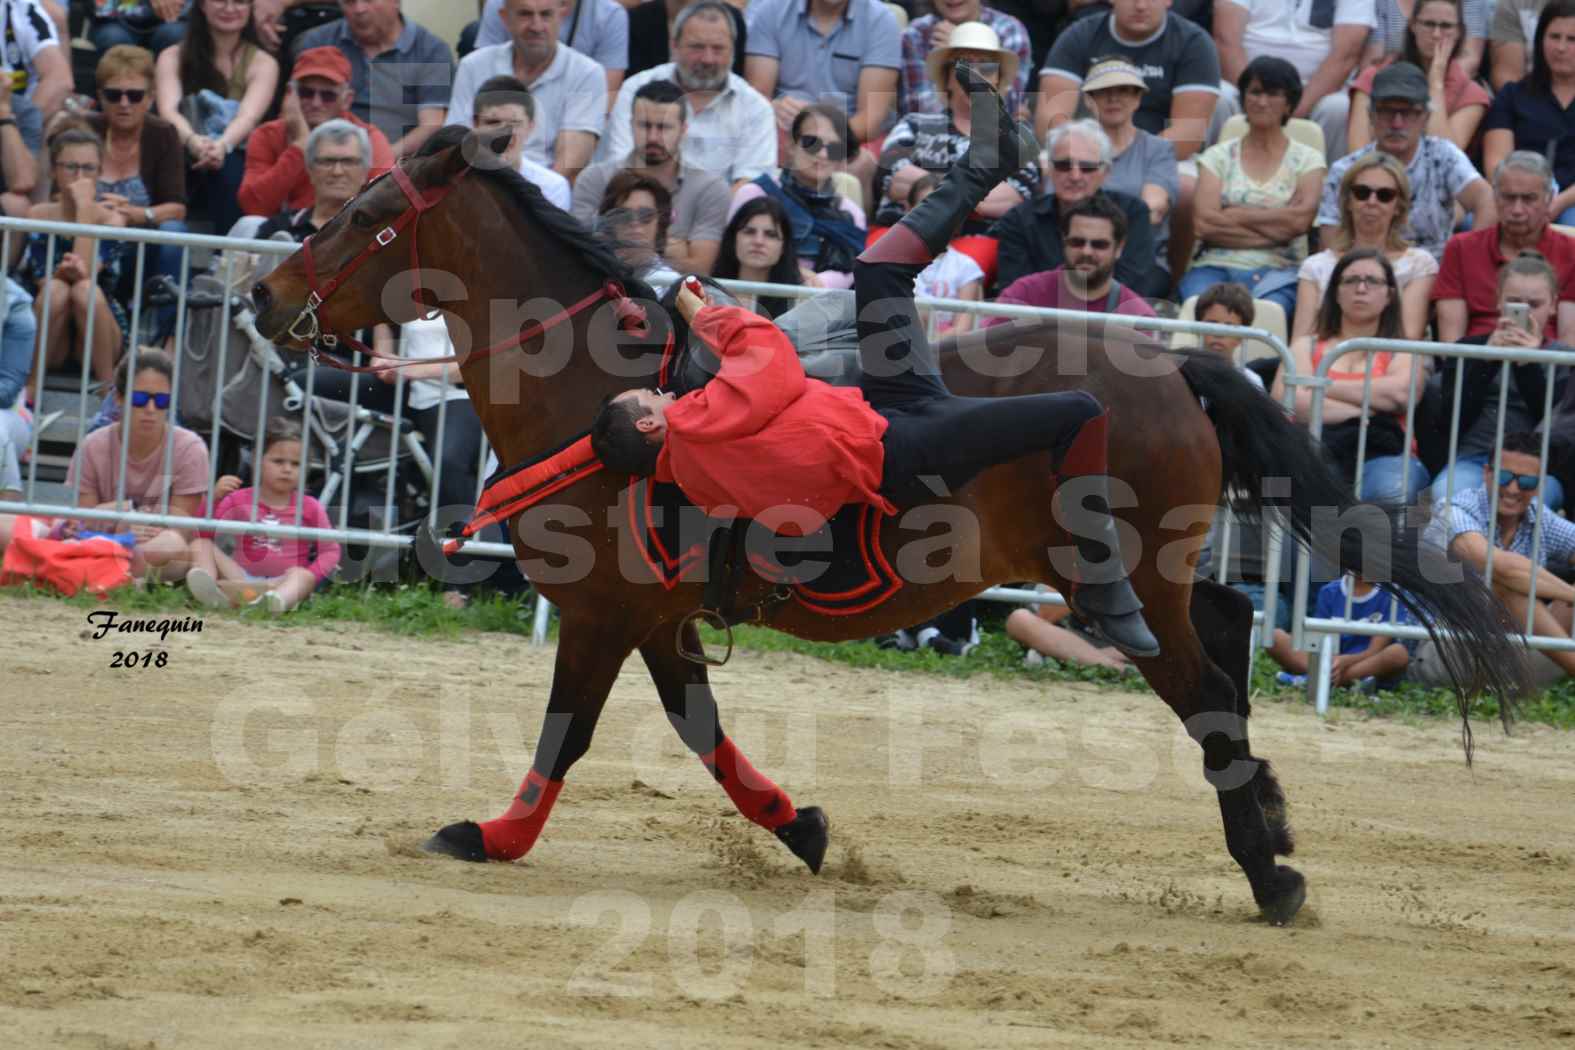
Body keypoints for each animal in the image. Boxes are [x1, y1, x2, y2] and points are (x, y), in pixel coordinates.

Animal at [255, 127, 1524, 925]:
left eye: (365, 214)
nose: (267, 298)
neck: (603, 397)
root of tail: (1179, 366)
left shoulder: (604, 613)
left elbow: (567, 737)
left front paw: (492, 835)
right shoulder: (660, 619)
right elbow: (702, 731)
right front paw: (803, 826)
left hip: (1120, 575)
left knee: (1200, 679)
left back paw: (1267, 868)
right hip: (1145, 568)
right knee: (1221, 631)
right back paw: (1268, 820)